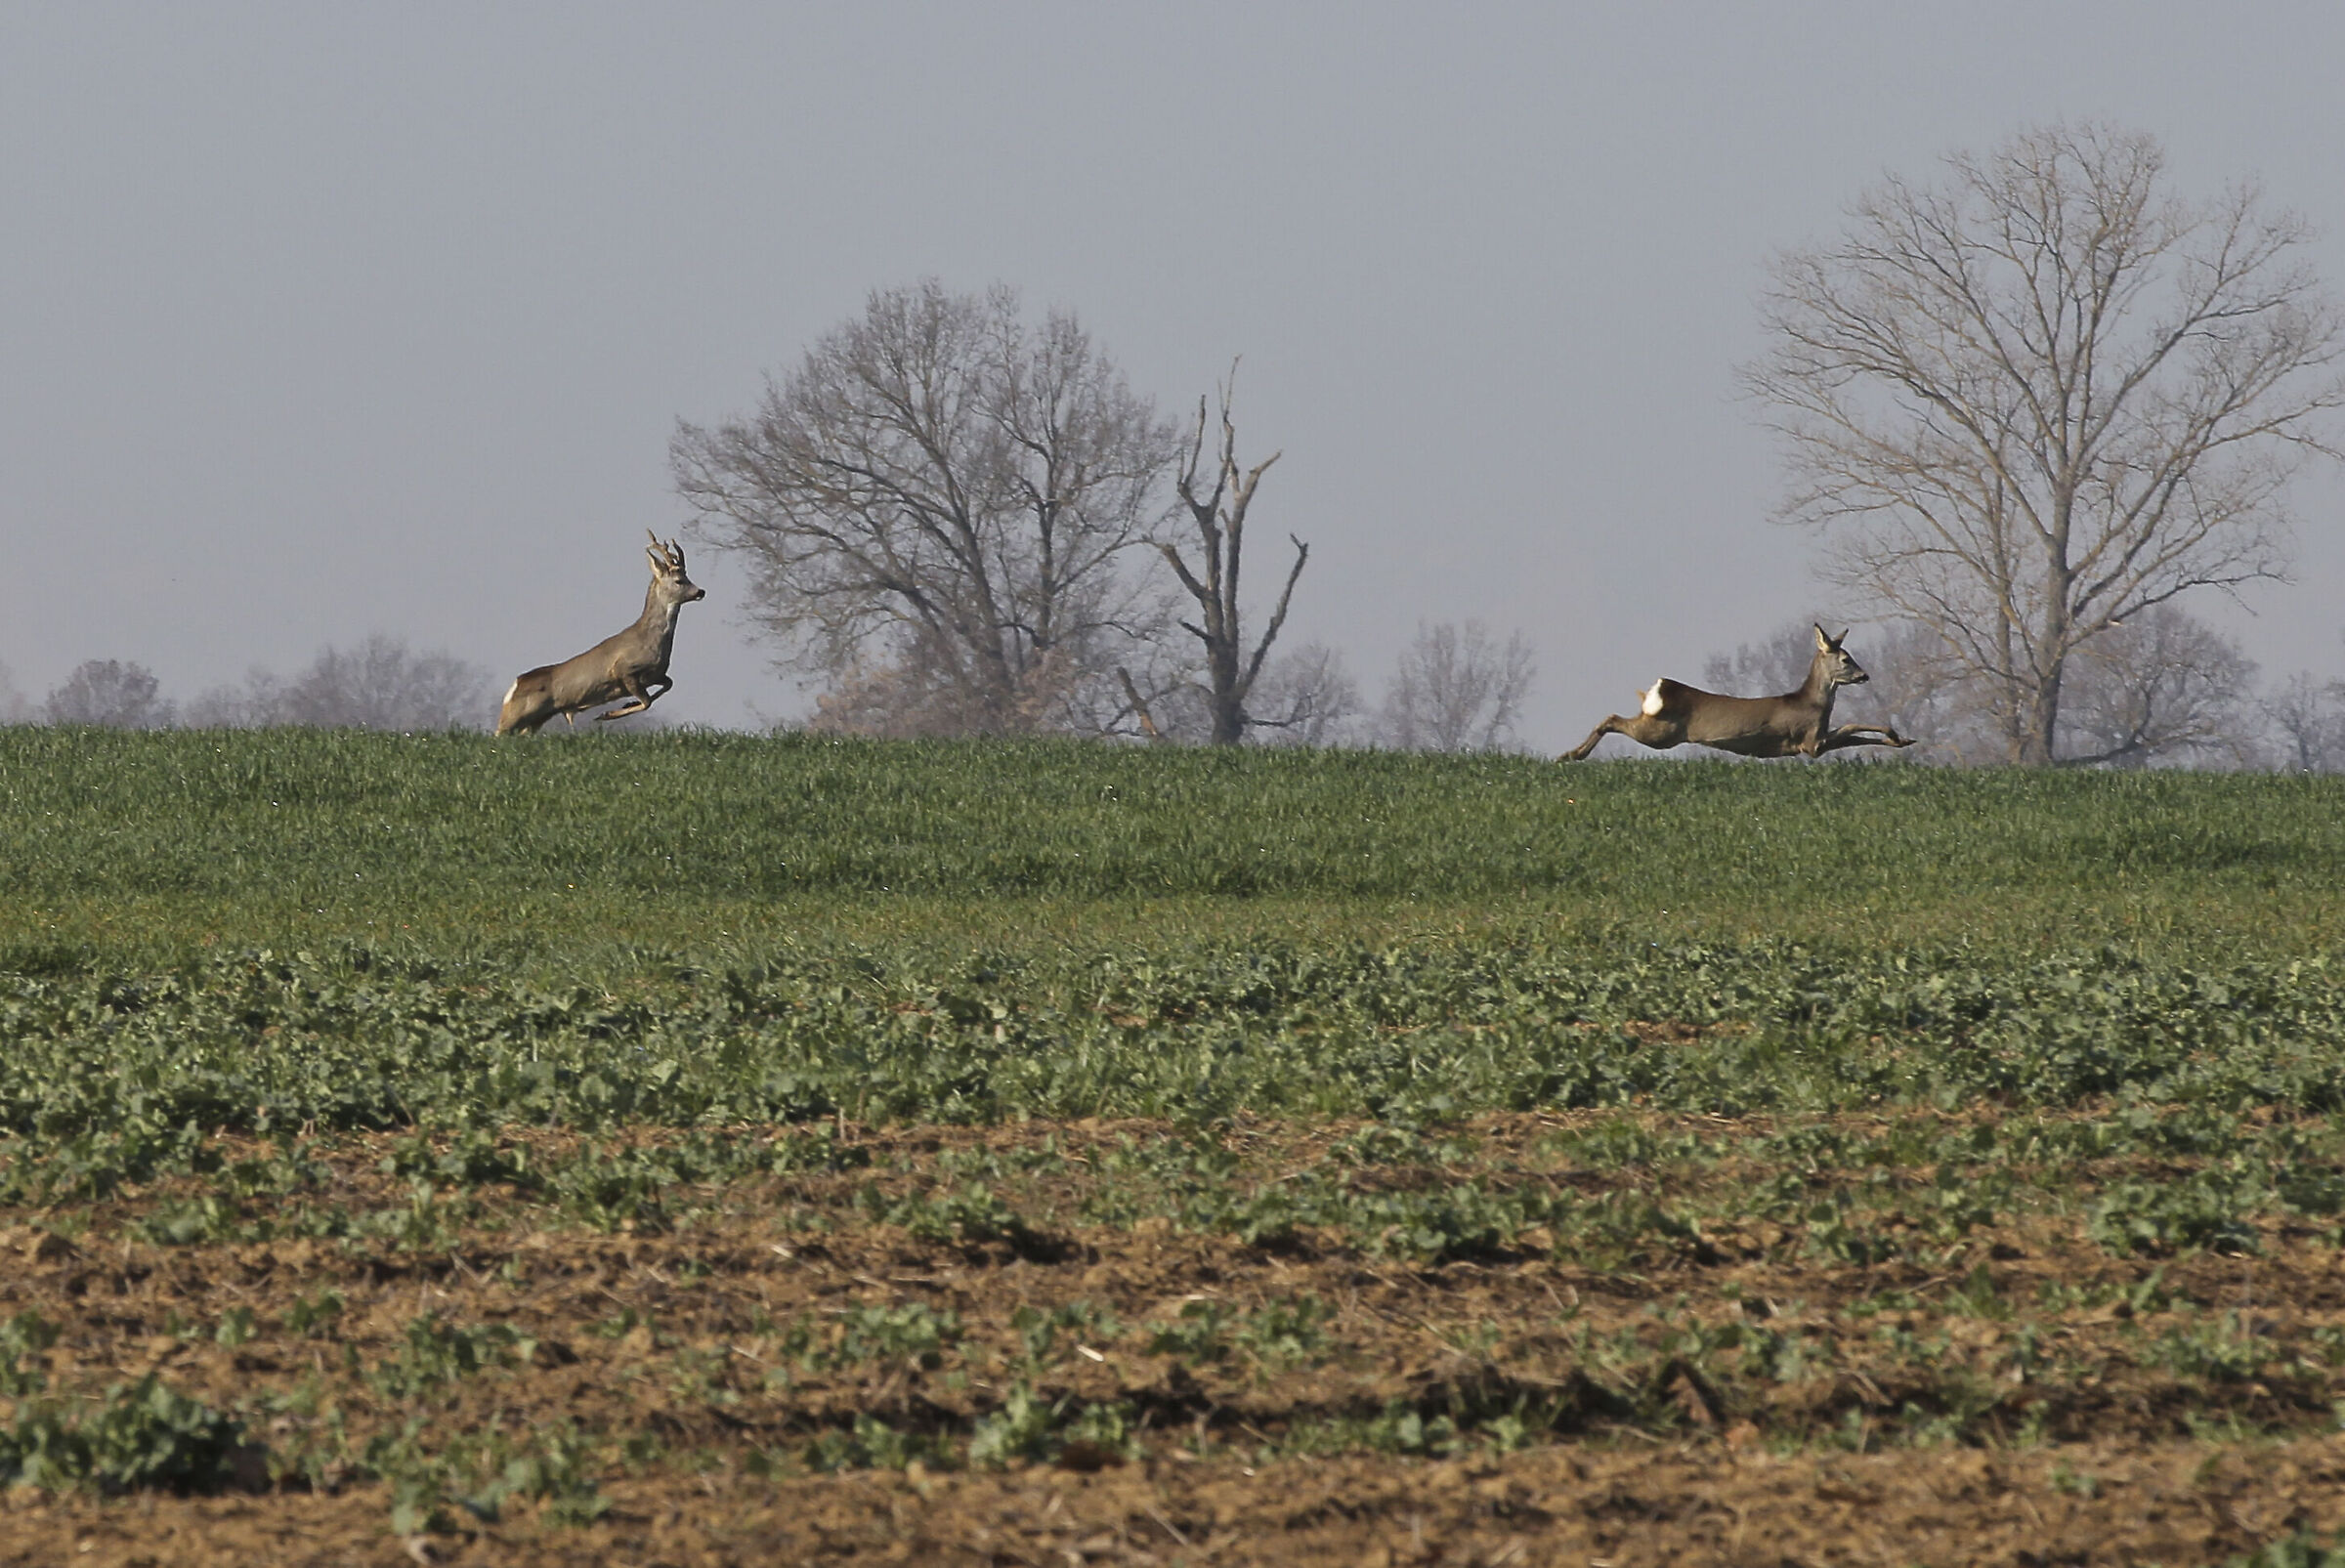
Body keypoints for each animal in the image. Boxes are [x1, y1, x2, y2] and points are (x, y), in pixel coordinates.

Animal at [495, 532, 706, 736]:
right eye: (679, 580)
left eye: (688, 577)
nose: (701, 591)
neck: (652, 641)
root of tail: (513, 687)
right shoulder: (623, 670)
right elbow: (646, 702)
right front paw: (606, 714)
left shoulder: (657, 674)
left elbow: (668, 684)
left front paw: (626, 704)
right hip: (515, 717)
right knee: (498, 733)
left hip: (536, 720)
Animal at [1561, 624, 1917, 762]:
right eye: (1845, 659)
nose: (1865, 675)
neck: (1813, 704)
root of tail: (1659, 687)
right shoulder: (1809, 742)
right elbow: (1853, 728)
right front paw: (1897, 735)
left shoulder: (1816, 740)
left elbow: (1853, 733)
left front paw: (1902, 740)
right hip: (1660, 733)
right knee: (1612, 718)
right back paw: (1573, 754)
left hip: (1657, 728)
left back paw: (1571, 754)